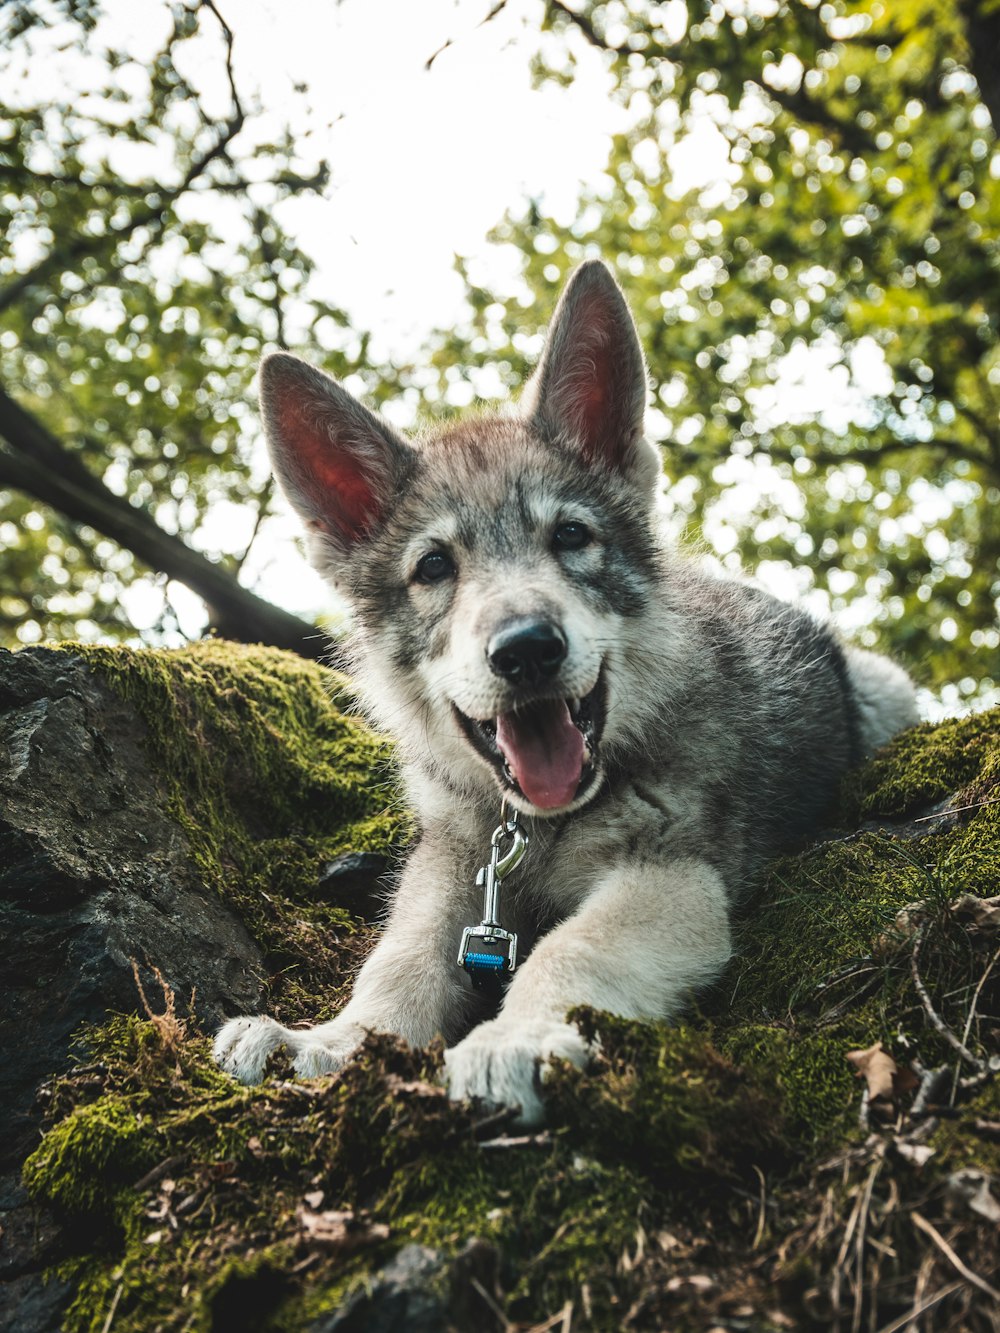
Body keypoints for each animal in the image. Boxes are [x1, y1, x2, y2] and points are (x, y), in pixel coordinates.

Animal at [216, 259, 922, 1125]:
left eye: (572, 537)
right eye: (434, 566)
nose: (527, 650)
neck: (537, 828)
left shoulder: (673, 876)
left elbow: (568, 950)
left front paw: (511, 1040)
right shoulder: (453, 866)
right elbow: (398, 961)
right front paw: (326, 1038)